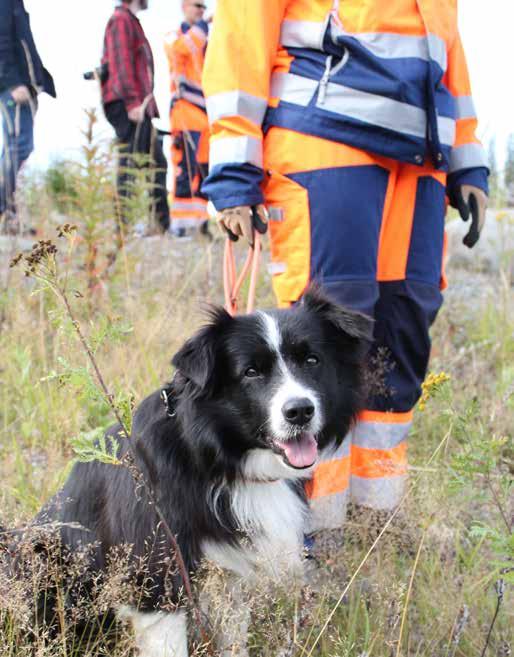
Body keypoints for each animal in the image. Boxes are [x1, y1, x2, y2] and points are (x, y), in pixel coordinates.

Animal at [13, 288, 368, 656]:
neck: (213, 457)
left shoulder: (231, 575)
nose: (299, 411)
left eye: (312, 360)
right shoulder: (157, 578)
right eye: (250, 372)